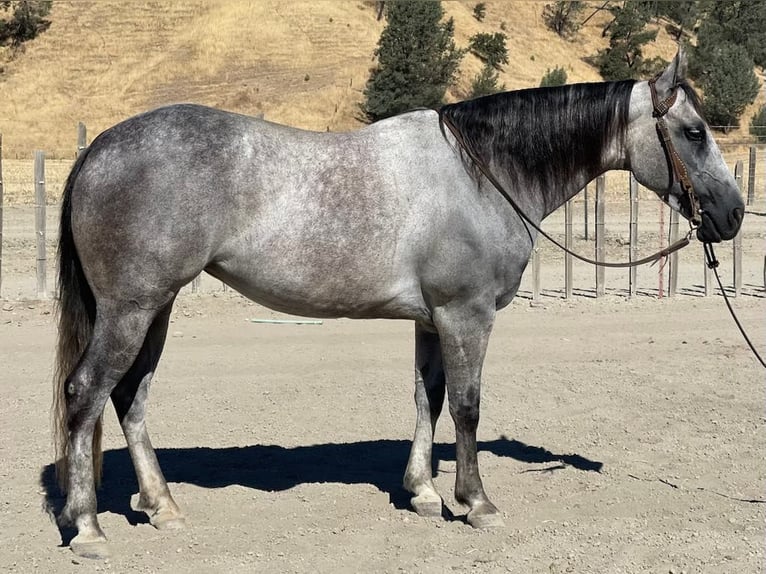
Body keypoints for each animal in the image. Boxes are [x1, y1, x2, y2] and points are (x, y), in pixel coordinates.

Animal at [54, 53, 744, 560]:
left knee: (130, 397)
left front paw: (423, 493)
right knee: (87, 393)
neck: (481, 174)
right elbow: (466, 407)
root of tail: (100, 148)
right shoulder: (467, 316)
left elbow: (427, 399)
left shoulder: (432, 321)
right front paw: (476, 502)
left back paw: (162, 507)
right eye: (693, 132)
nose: (734, 215)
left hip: (157, 308)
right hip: (131, 308)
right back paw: (87, 527)